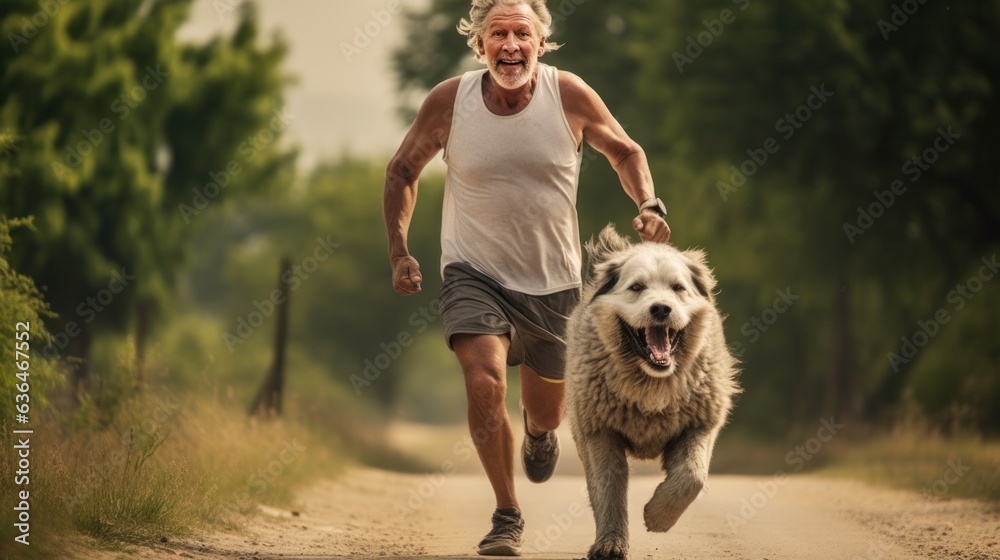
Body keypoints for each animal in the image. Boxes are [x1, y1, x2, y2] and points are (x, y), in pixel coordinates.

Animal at [568, 224, 740, 560]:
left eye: (677, 288)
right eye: (636, 287)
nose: (661, 308)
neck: (651, 382)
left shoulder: (699, 424)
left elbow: (692, 476)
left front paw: (657, 516)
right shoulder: (600, 431)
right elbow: (608, 487)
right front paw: (610, 544)